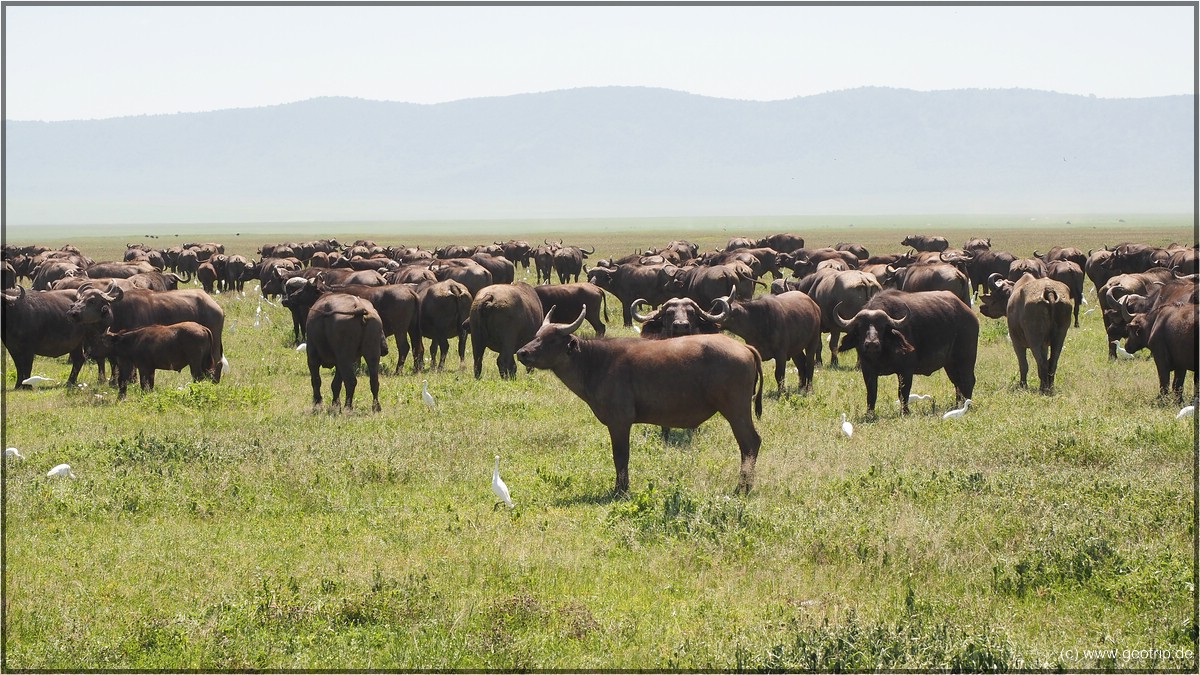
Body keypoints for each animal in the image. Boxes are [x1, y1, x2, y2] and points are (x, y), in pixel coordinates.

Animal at [85, 319, 219, 396]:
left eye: (101, 341)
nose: (90, 353)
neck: (133, 340)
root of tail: (203, 328)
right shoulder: (151, 370)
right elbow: (150, 385)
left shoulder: (143, 368)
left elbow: (144, 385)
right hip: (205, 364)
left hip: (195, 364)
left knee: (198, 377)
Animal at [513, 307, 758, 492]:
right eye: (537, 335)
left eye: (552, 339)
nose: (522, 353)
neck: (597, 362)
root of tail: (744, 346)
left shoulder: (619, 422)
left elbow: (621, 456)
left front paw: (620, 489)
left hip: (736, 410)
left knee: (750, 443)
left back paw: (742, 488)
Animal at [835, 288, 974, 413]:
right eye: (861, 327)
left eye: (881, 327)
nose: (872, 344)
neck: (882, 355)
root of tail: (969, 314)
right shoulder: (867, 370)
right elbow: (871, 393)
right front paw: (869, 413)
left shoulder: (906, 370)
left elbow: (903, 392)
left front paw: (905, 412)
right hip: (950, 364)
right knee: (957, 383)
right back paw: (957, 405)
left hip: (966, 359)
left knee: (968, 380)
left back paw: (967, 405)